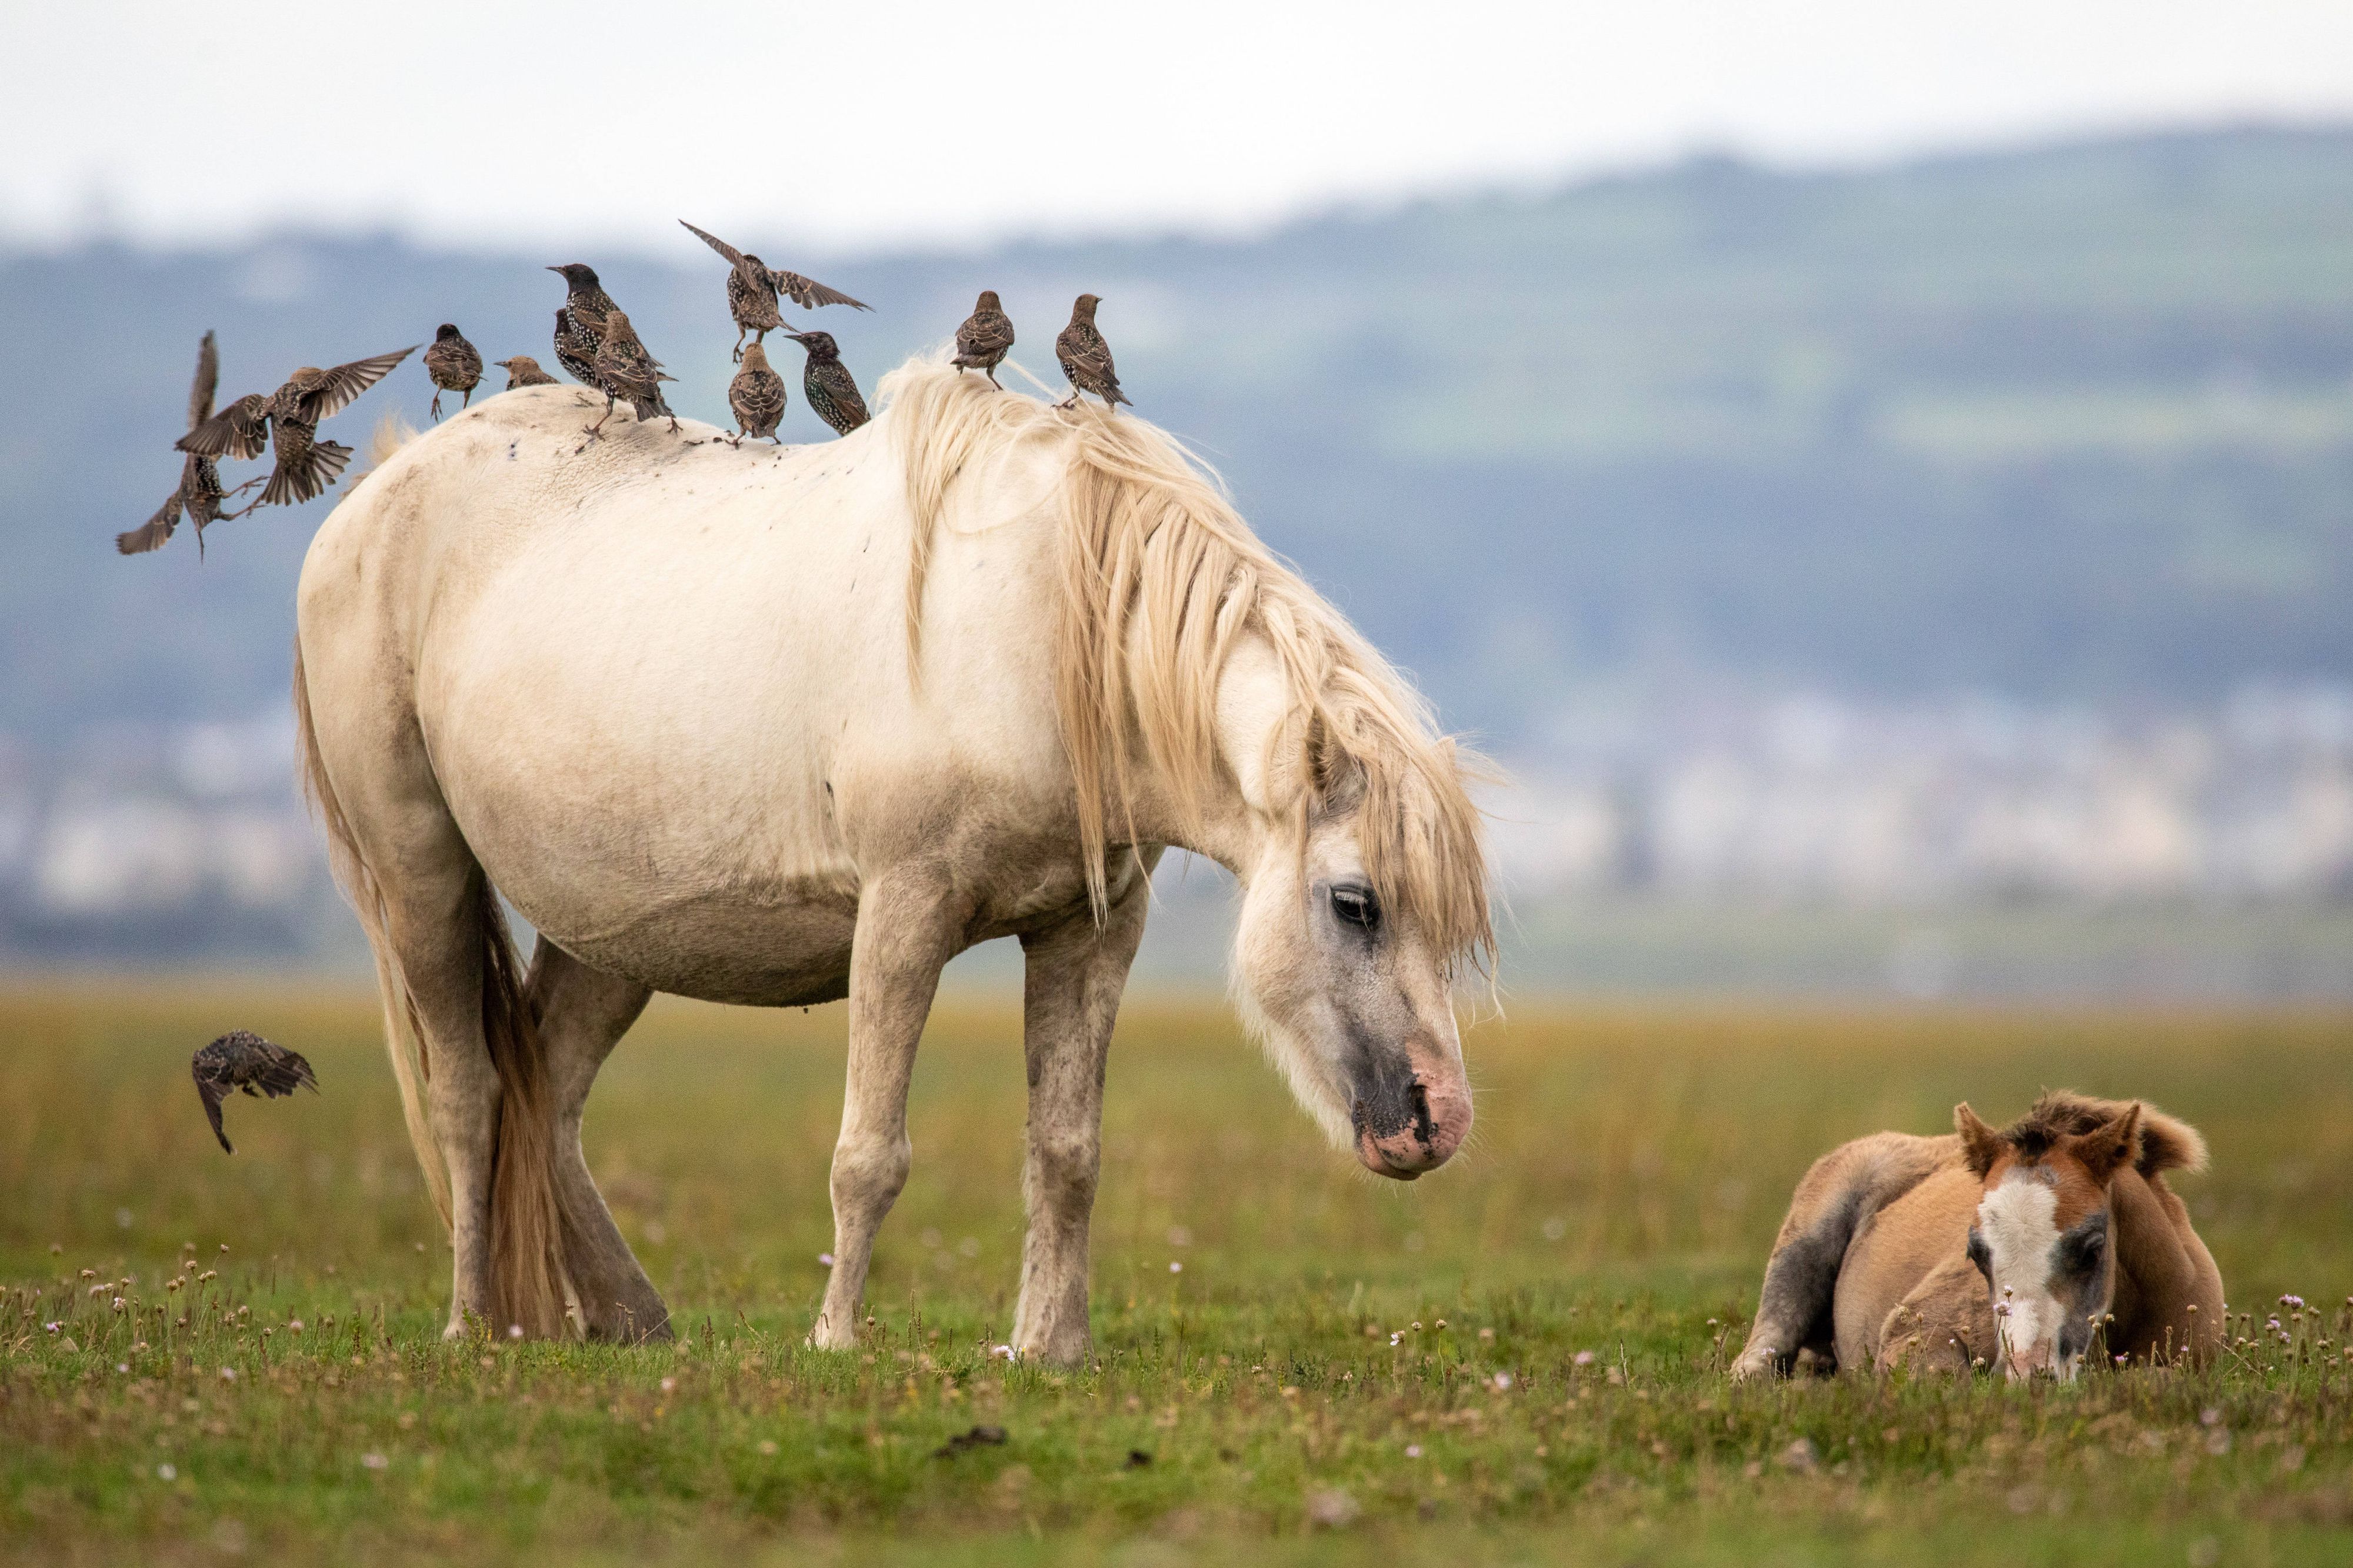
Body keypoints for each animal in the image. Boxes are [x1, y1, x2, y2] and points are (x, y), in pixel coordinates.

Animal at [290, 357, 1492, 1352]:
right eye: (1354, 902)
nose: (1438, 1124)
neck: (1043, 626)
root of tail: (376, 495)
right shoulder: (904, 910)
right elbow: (869, 1155)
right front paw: (835, 1341)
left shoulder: (1090, 930)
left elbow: (1067, 1151)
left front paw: (1050, 1348)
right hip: (420, 876)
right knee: (471, 1092)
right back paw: (473, 1323)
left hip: (612, 930)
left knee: (552, 1087)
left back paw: (626, 1318)